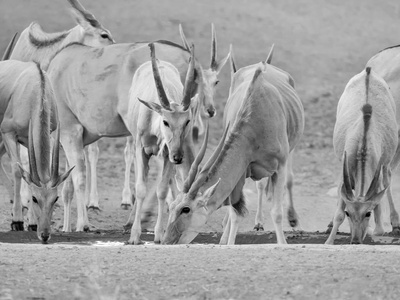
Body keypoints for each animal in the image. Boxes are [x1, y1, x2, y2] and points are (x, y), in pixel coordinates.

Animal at [0, 59, 72, 240]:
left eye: (55, 199)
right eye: (34, 198)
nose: (45, 234)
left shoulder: (42, 137)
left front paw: (31, 223)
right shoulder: (8, 133)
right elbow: (18, 172)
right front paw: (17, 221)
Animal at [162, 46, 304, 244]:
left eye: (186, 209)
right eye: (171, 207)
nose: (167, 241)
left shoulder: (280, 166)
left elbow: (276, 212)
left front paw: (283, 243)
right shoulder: (242, 170)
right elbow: (235, 213)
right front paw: (226, 243)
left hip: (289, 153)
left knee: (286, 181)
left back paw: (292, 219)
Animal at [324, 67, 400, 244]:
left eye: (367, 213)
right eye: (348, 213)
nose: (355, 241)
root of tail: (368, 71)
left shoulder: (376, 173)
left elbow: (378, 216)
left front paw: (375, 229)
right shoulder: (343, 175)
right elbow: (338, 214)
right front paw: (329, 241)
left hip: (386, 164)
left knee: (387, 181)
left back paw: (395, 223)